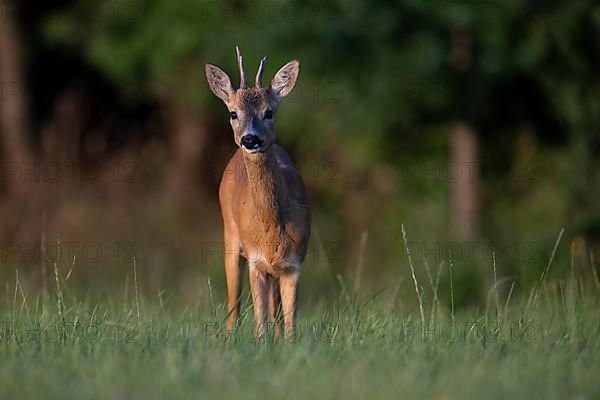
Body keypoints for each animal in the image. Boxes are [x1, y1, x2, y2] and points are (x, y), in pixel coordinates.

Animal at [205, 48, 310, 340]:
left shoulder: (294, 263)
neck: (272, 229)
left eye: (269, 112)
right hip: (230, 237)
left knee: (275, 312)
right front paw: (261, 343)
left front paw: (288, 344)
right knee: (234, 305)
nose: (249, 139)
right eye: (233, 113)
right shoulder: (255, 262)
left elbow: (290, 324)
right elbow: (260, 322)